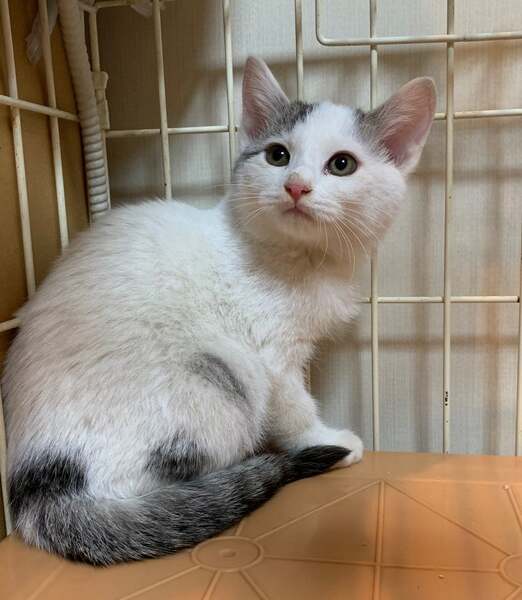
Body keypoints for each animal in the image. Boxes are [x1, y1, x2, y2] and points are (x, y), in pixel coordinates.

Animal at [2, 57, 435, 565]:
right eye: (278, 155)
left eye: (342, 164)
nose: (296, 186)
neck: (299, 259)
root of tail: (36, 484)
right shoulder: (269, 356)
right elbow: (293, 403)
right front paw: (322, 437)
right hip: (224, 380)